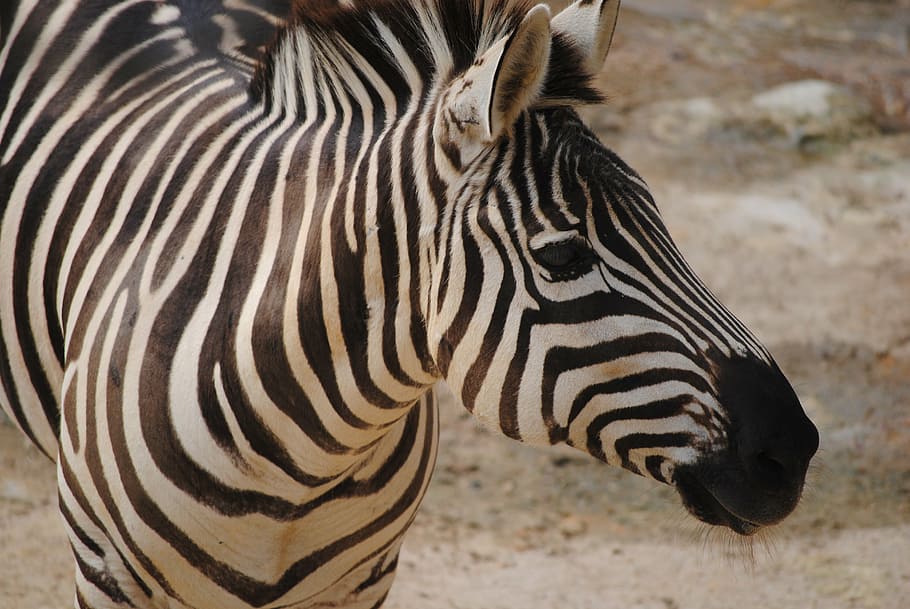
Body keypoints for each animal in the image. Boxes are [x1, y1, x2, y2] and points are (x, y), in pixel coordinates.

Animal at [0, 0, 819, 608]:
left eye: (662, 221)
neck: (299, 467)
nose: (794, 449)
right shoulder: (108, 575)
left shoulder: (363, 582)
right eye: (563, 256)